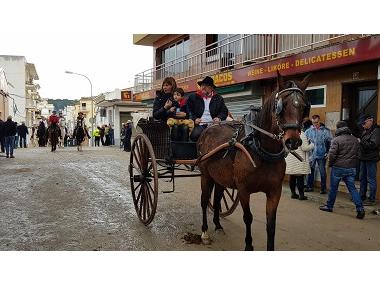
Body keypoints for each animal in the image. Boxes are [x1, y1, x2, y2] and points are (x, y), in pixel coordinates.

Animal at [197, 70, 310, 248]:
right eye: (281, 106)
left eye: (305, 107)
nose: (293, 141)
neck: (262, 151)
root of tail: (208, 129)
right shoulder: (243, 190)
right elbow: (248, 218)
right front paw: (249, 246)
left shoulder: (274, 191)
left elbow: (271, 224)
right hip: (206, 175)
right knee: (204, 201)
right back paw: (205, 232)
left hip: (220, 177)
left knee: (216, 199)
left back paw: (218, 224)